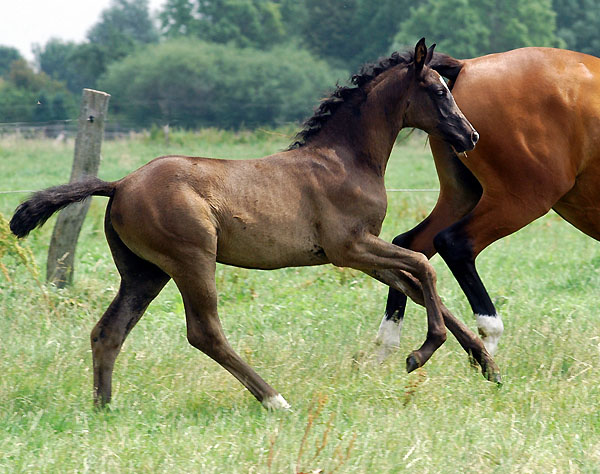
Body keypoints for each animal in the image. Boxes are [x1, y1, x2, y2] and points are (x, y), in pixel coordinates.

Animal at [11, 39, 494, 412]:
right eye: (438, 91)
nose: (470, 136)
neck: (345, 159)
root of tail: (119, 184)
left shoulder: (362, 253)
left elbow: (416, 282)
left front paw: (485, 362)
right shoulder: (350, 248)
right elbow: (423, 267)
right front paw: (423, 352)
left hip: (144, 273)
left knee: (109, 331)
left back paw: (104, 408)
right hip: (191, 260)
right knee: (205, 332)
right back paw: (275, 400)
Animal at [378, 46, 600, 362]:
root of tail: (467, 66)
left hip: (462, 196)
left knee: (410, 245)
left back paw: (386, 346)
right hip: (519, 200)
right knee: (454, 243)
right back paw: (487, 346)